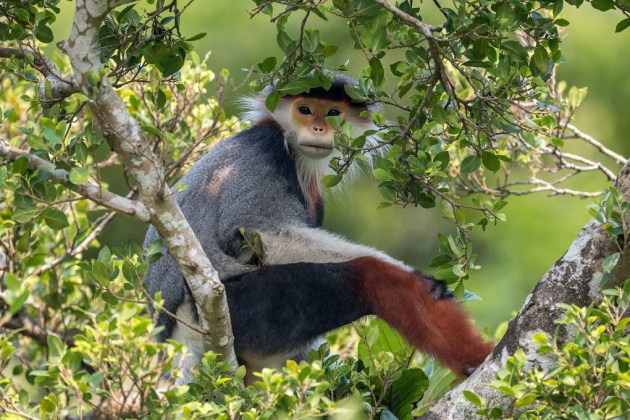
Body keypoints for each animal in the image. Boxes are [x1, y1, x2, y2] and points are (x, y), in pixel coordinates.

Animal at [144, 74, 494, 384]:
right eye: (305, 109)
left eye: (333, 113)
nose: (318, 127)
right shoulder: (263, 150)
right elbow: (256, 228)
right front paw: (412, 273)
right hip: (237, 310)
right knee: (372, 277)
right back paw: (476, 357)